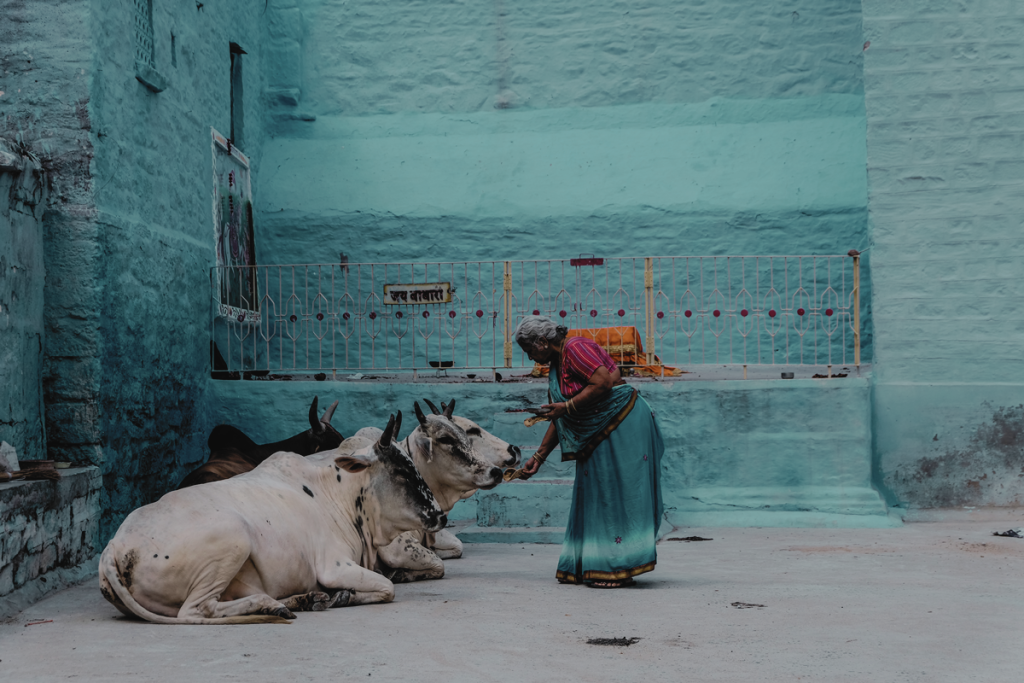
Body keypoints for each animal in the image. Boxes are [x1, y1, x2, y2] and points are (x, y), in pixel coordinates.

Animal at [96, 411, 444, 626]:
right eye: (401, 471)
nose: (440, 514)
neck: (338, 494)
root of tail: (113, 547)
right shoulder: (334, 566)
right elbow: (387, 586)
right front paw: (344, 596)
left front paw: (333, 597)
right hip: (234, 536)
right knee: (196, 609)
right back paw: (269, 603)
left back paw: (301, 599)